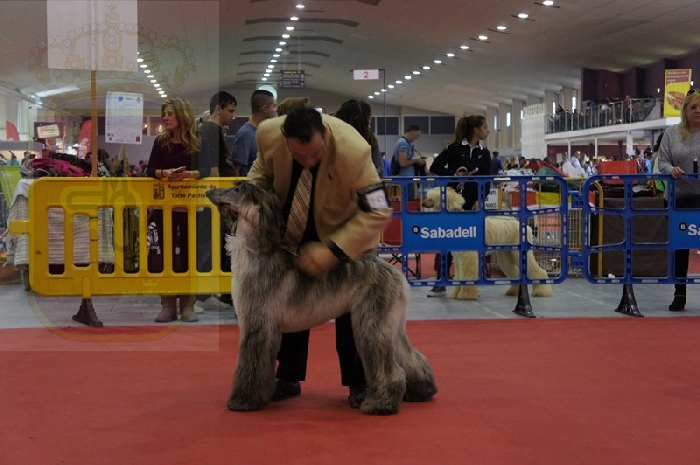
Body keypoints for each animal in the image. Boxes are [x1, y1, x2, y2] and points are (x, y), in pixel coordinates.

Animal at [206, 181, 437, 415]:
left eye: (237, 189)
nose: (208, 191)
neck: (257, 254)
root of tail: (397, 275)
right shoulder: (268, 329)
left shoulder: (257, 325)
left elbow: (250, 365)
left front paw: (243, 401)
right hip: (391, 323)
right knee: (411, 357)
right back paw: (422, 391)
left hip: (371, 322)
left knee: (391, 370)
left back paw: (380, 404)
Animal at [423, 187, 553, 300]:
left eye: (431, 198)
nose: (423, 204)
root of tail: (523, 225)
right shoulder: (459, 257)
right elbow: (459, 276)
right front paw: (455, 294)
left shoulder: (468, 256)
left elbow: (467, 275)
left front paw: (466, 295)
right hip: (505, 254)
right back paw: (514, 291)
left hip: (518, 252)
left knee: (538, 271)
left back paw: (541, 291)